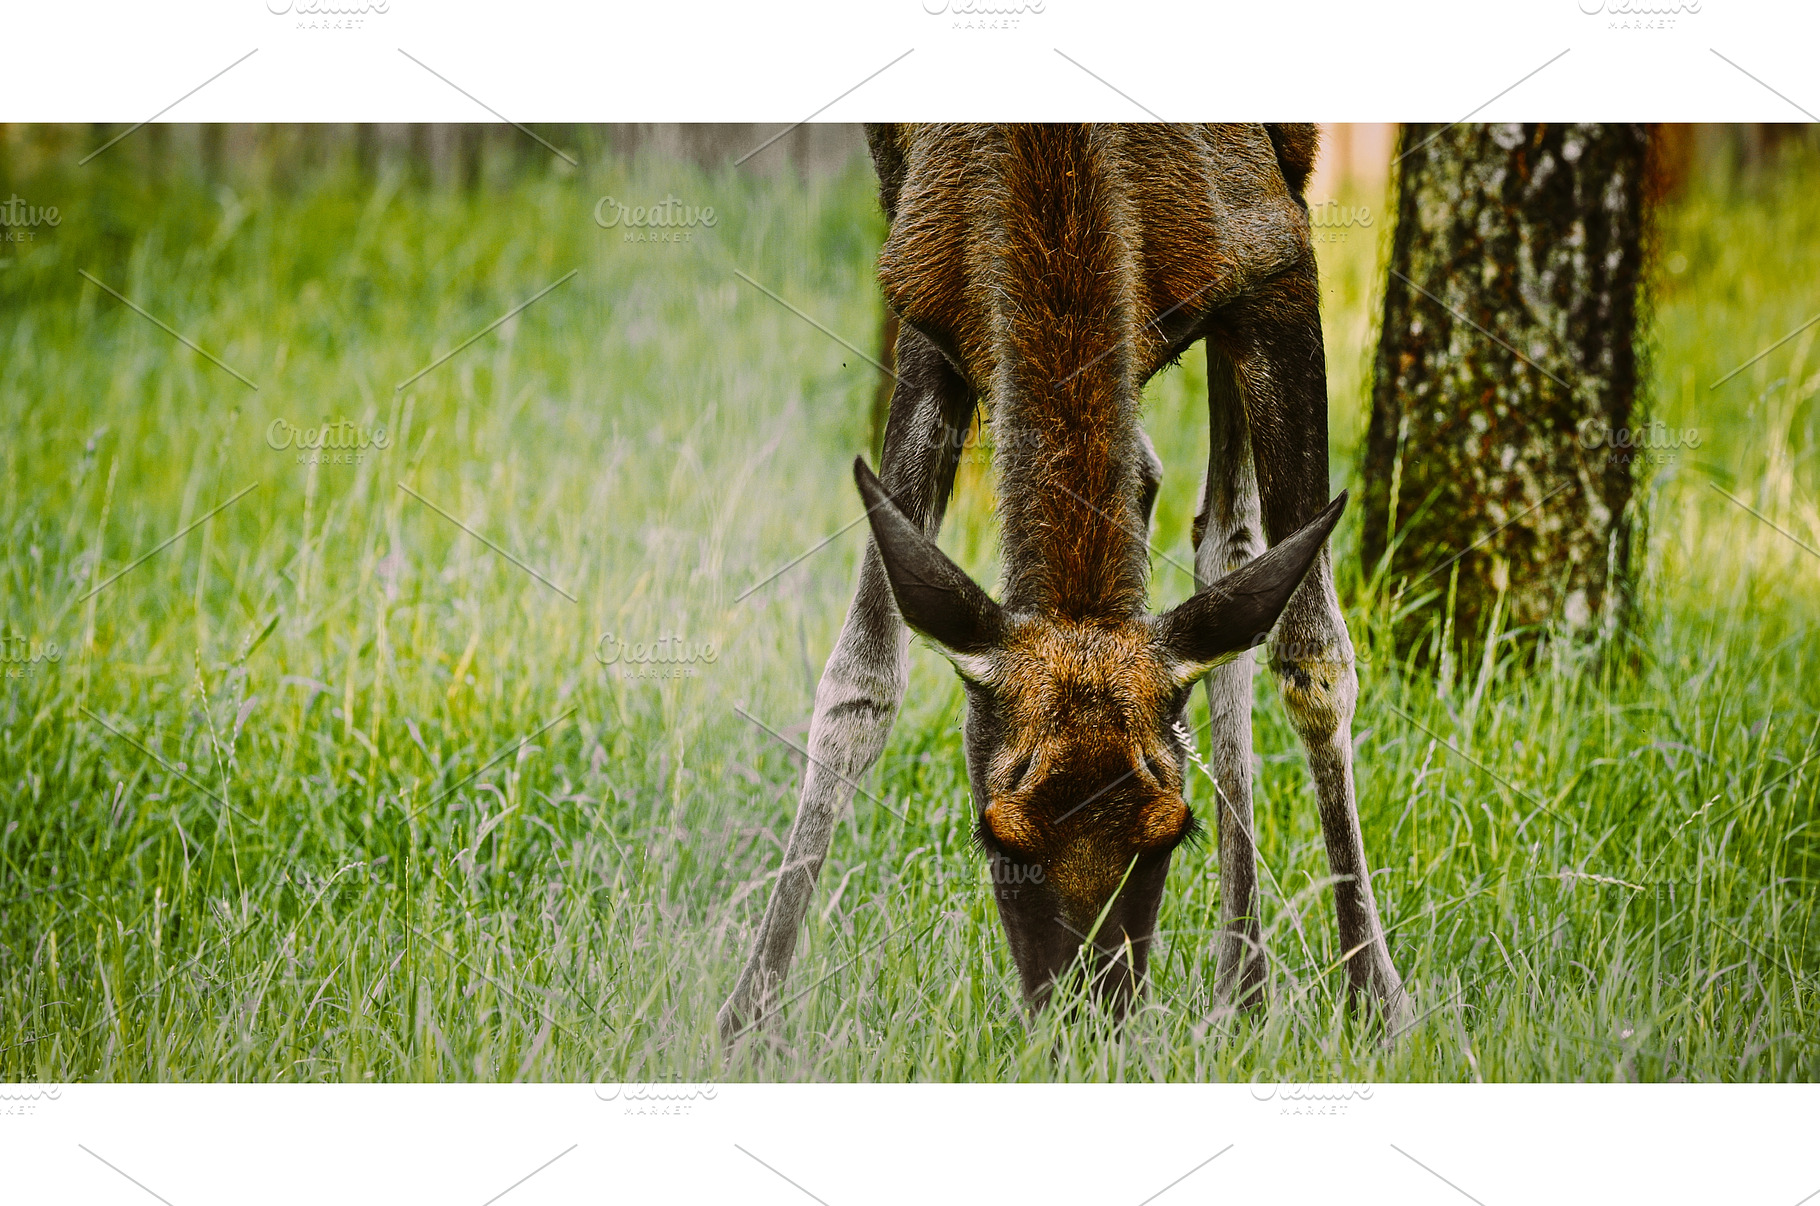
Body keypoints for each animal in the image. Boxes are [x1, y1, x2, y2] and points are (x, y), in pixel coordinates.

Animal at [719, 123, 1410, 1040]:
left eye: (1172, 832)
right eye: (997, 838)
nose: (1089, 1030)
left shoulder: (1275, 258)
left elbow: (1315, 659)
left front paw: (1379, 999)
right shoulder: (923, 300)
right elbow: (858, 681)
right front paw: (747, 1017)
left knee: (1229, 541)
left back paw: (1244, 981)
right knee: (1180, 502)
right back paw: (1244, 984)